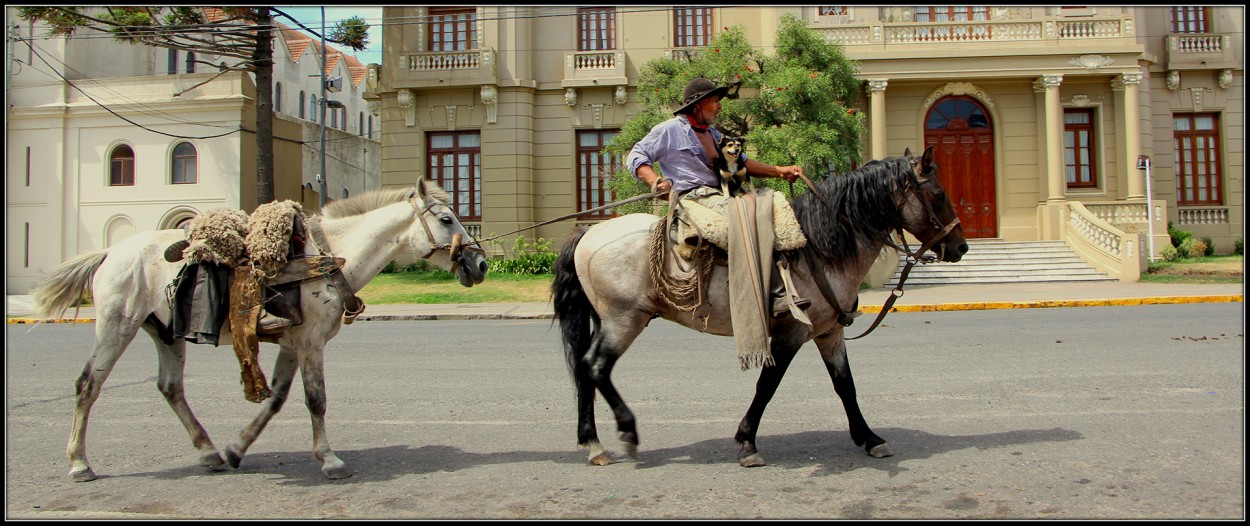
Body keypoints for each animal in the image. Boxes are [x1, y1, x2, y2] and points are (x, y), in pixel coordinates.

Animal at [29, 179, 487, 479]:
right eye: (447, 219)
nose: (480, 263)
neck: (330, 256)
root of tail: (110, 252)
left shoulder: (292, 343)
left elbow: (277, 401)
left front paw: (237, 448)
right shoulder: (310, 344)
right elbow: (316, 400)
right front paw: (330, 459)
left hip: (165, 332)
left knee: (170, 387)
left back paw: (209, 452)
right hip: (115, 327)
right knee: (88, 384)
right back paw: (79, 462)